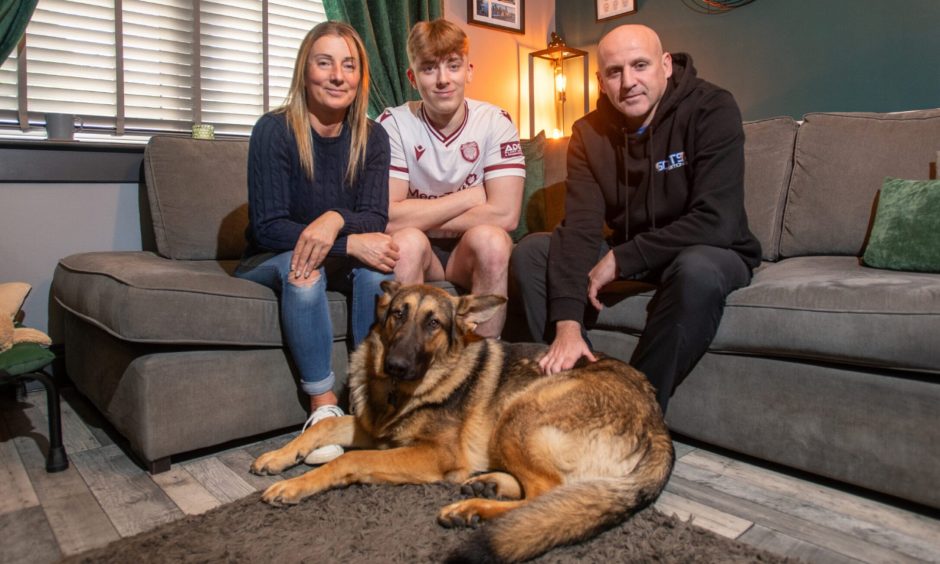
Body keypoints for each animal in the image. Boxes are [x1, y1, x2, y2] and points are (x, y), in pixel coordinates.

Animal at [250, 282, 676, 560]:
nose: (395, 366)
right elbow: (324, 427)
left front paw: (295, 485)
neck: (402, 392)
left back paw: (472, 510)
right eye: (398, 315)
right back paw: (488, 486)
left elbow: (351, 460)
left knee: (547, 495)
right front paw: (277, 457)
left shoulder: (433, 455)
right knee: (542, 491)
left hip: (518, 413)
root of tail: (657, 421)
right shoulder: (374, 429)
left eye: (433, 324)